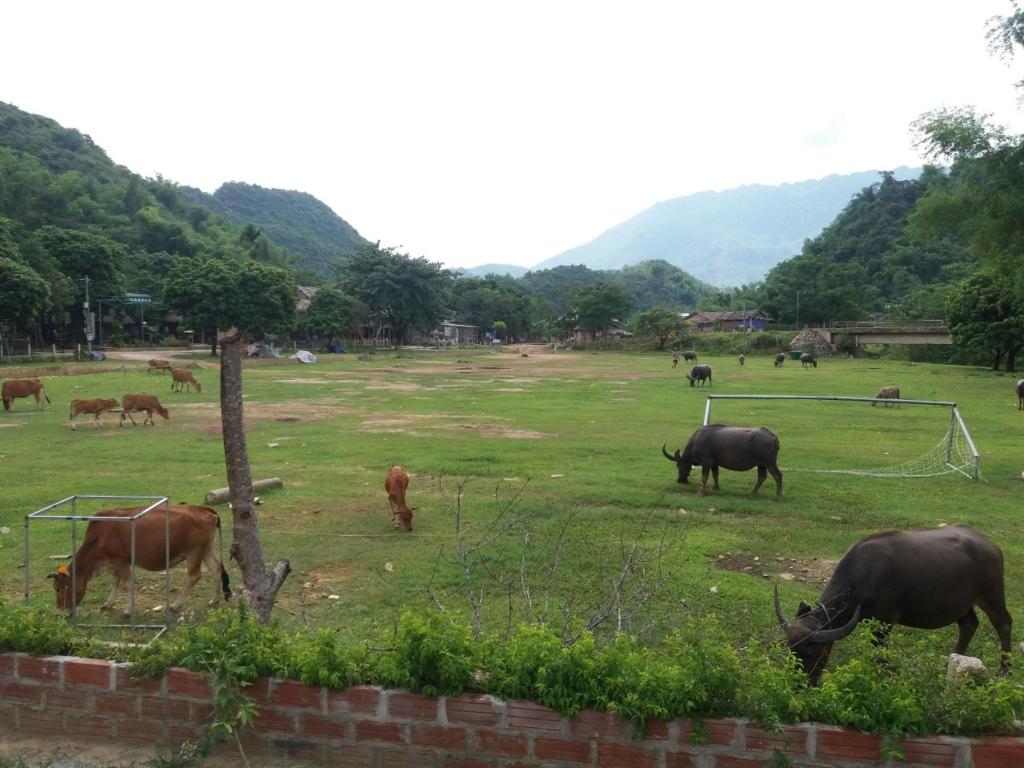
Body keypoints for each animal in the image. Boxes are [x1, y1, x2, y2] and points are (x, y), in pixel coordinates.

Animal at [49, 505, 230, 618]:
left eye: (58, 588)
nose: (59, 612)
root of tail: (202, 507)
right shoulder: (115, 563)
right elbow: (115, 582)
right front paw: (107, 604)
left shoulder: (122, 561)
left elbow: (127, 584)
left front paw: (128, 611)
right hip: (206, 549)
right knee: (216, 570)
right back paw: (214, 600)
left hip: (194, 552)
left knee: (194, 576)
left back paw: (175, 605)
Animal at [774, 528, 1007, 684]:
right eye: (791, 649)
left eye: (812, 652)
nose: (800, 683)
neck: (864, 575)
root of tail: (992, 546)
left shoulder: (885, 620)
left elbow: (881, 652)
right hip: (961, 604)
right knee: (969, 624)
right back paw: (951, 662)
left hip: (992, 596)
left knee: (1003, 623)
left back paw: (1004, 671)